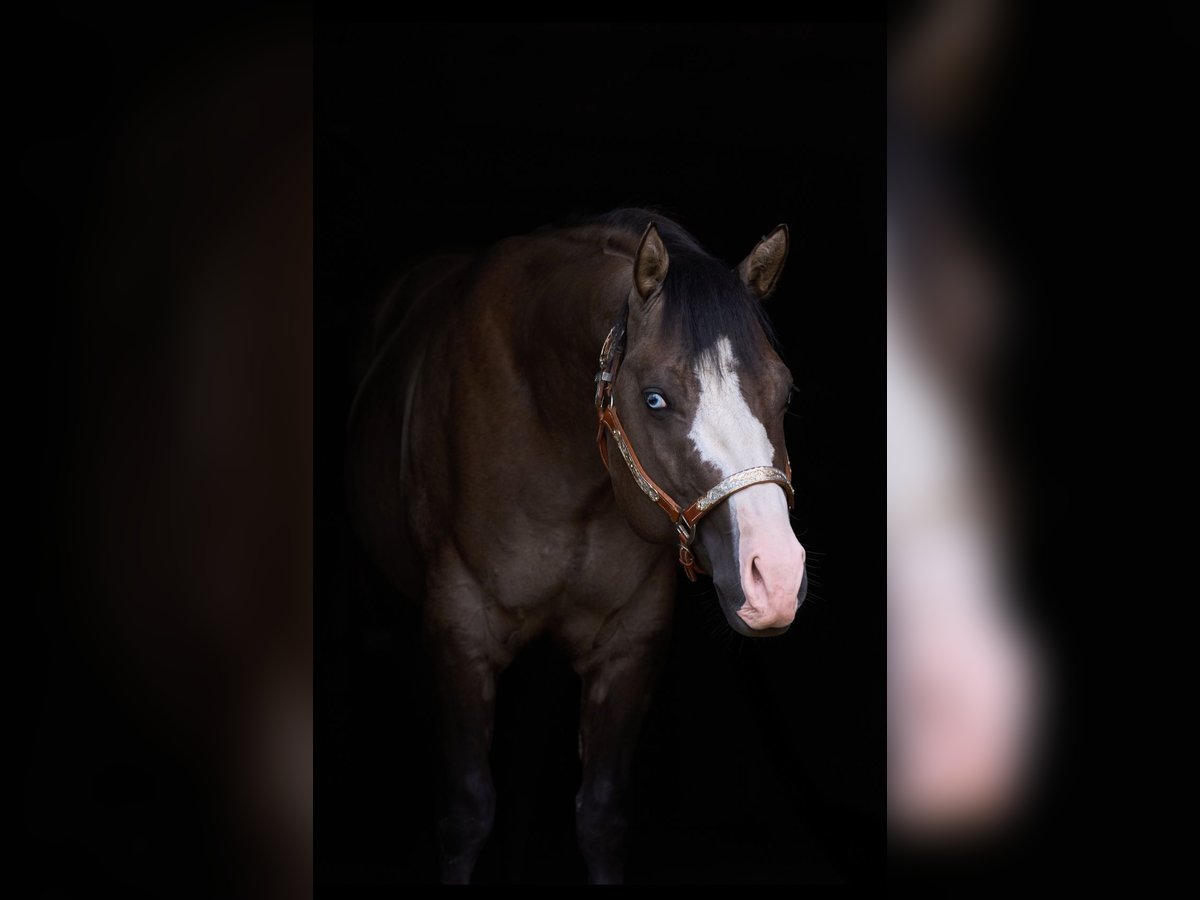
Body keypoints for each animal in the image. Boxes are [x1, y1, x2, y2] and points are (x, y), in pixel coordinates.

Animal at [345, 209, 808, 884]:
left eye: (785, 392)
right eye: (654, 398)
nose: (773, 578)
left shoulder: (628, 642)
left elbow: (601, 816)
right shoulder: (458, 632)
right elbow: (463, 813)